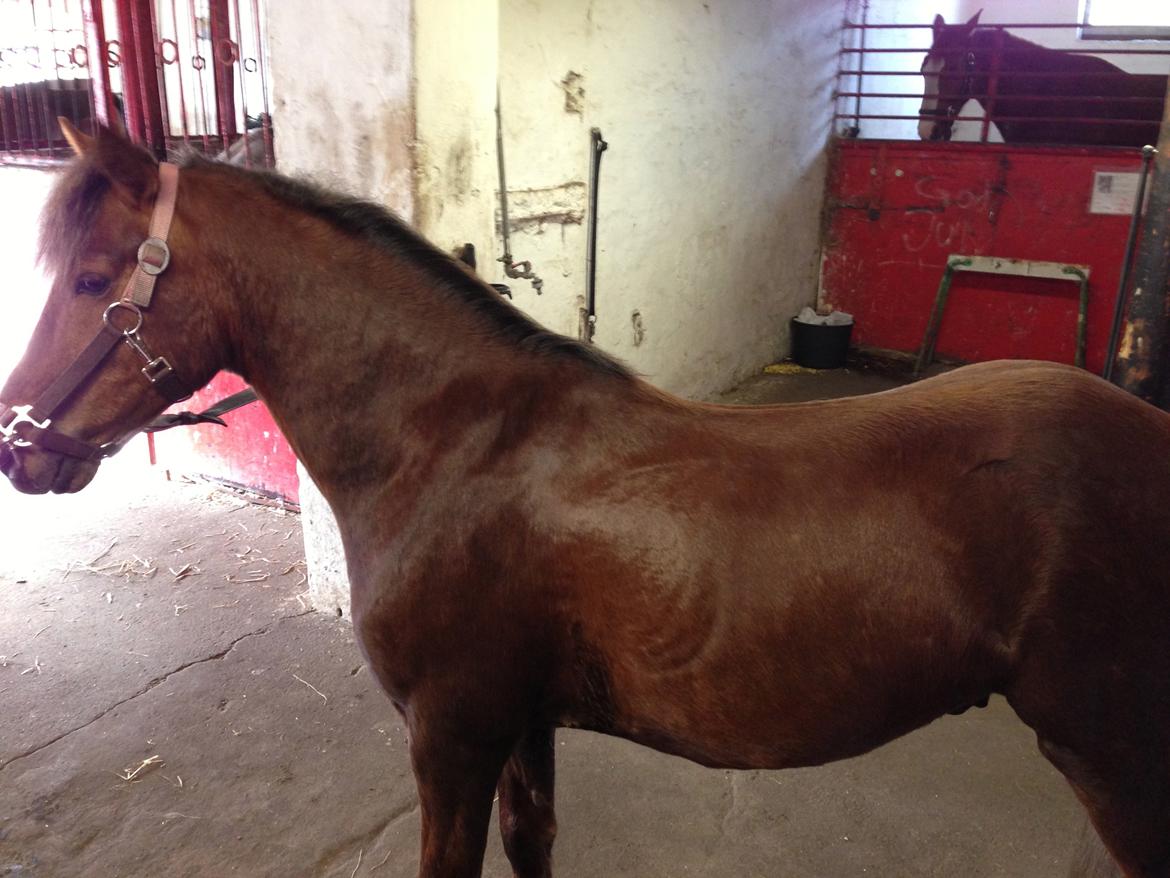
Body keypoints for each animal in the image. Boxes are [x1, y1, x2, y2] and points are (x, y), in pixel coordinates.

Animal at [3, 122, 1170, 878]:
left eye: (93, 279)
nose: (21, 448)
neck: (455, 443)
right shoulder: (522, 726)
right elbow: (536, 848)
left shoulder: (451, 735)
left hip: (1114, 757)